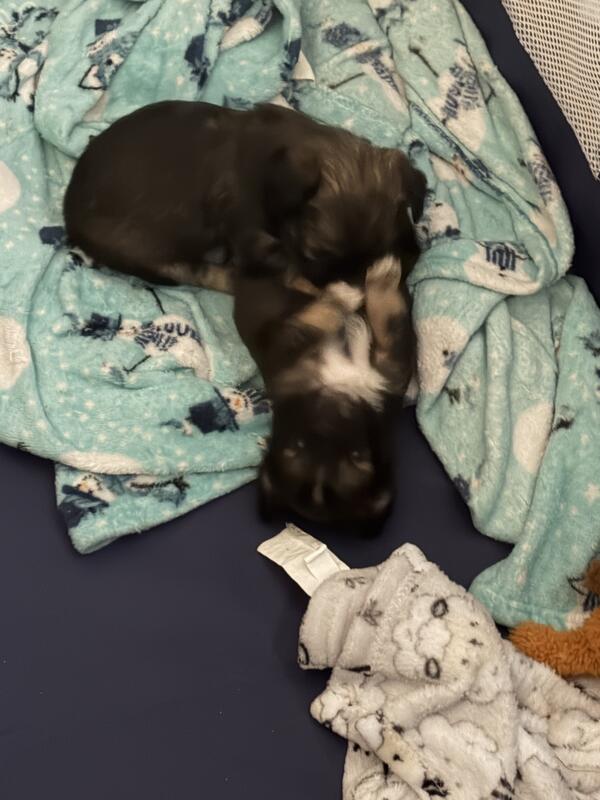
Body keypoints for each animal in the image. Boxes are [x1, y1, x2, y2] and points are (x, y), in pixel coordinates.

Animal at [63, 100, 426, 288]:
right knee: (202, 274)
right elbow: (281, 264)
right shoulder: (249, 232)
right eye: (313, 255)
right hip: (152, 257)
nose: (343, 284)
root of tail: (69, 214)